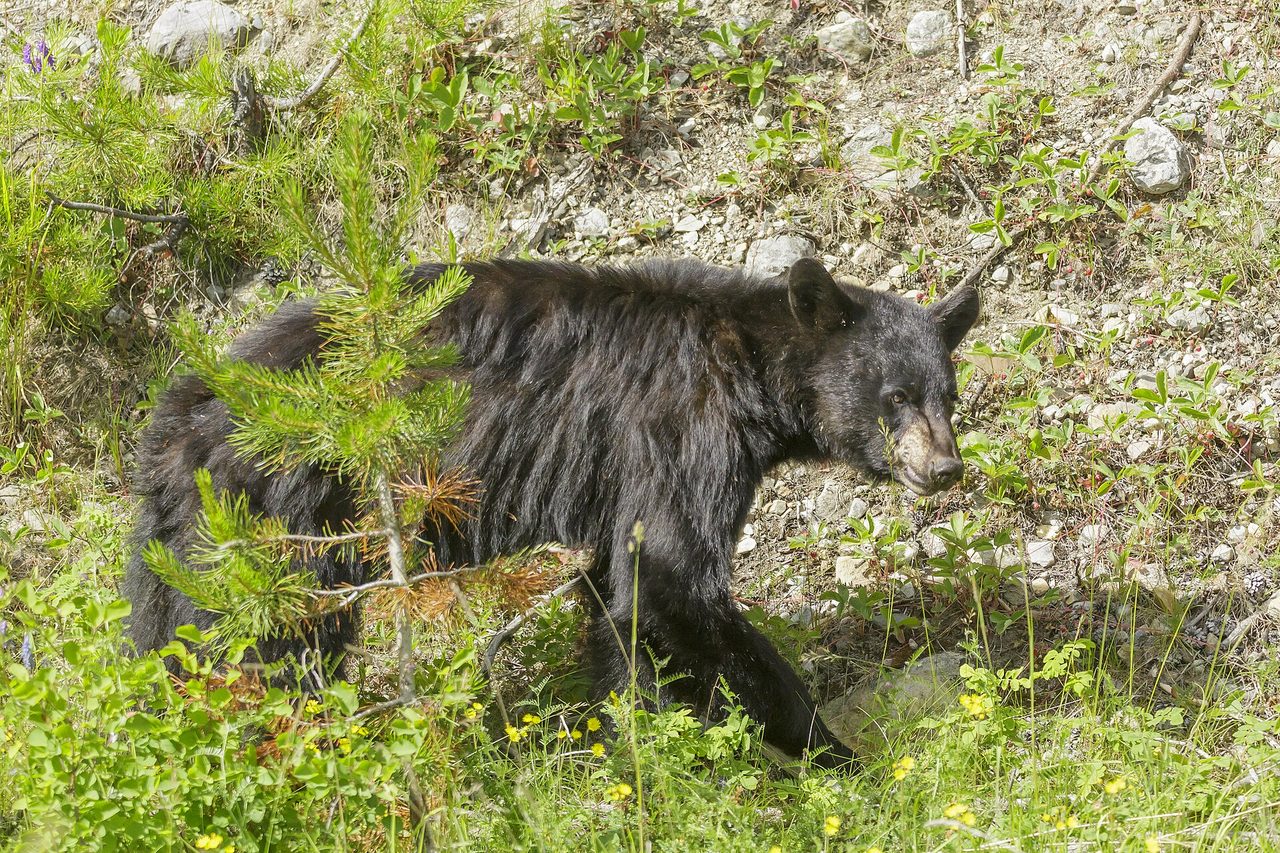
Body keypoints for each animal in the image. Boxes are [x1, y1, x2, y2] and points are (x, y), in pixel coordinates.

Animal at [123, 256, 980, 769]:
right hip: (286, 513)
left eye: (949, 393)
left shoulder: (627, 480)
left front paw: (629, 746)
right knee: (273, 651)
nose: (944, 468)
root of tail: (175, 419)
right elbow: (673, 581)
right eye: (895, 396)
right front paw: (840, 754)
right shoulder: (682, 433)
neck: (746, 363)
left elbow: (619, 601)